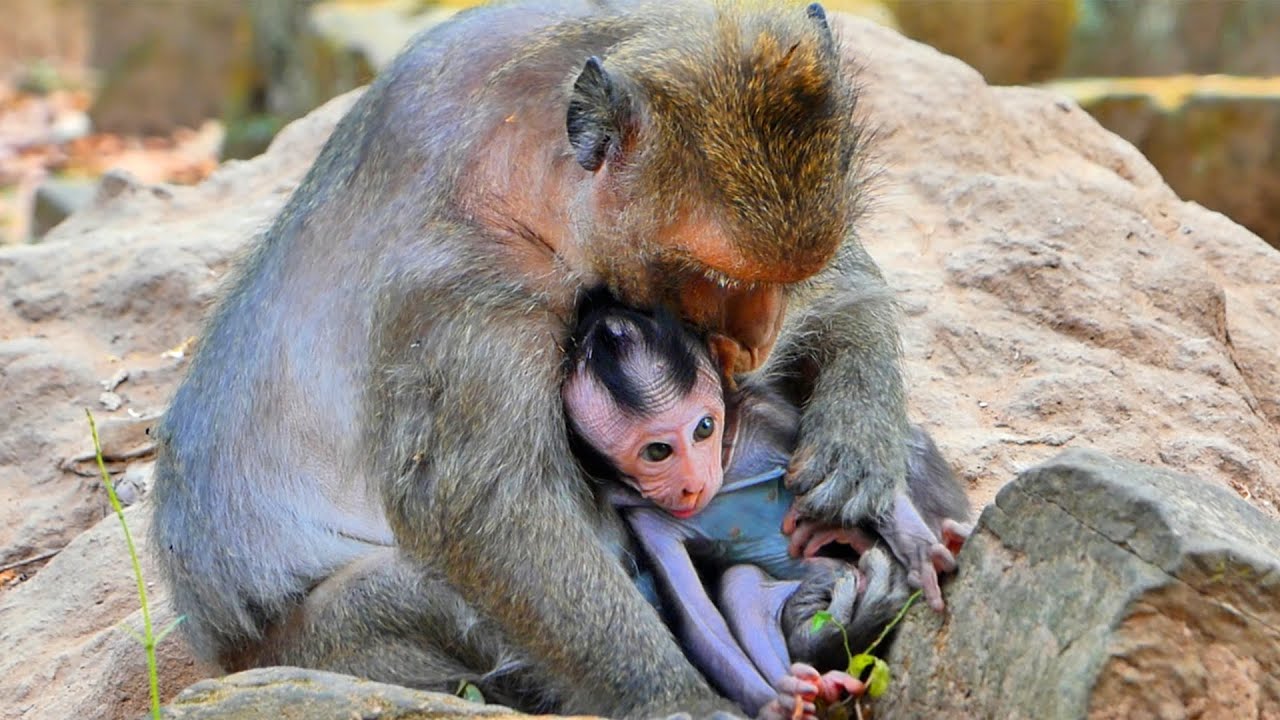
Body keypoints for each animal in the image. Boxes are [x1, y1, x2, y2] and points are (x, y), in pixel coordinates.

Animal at [148, 2, 928, 717]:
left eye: (785, 276)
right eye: (716, 278)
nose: (757, 342)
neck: (518, 160)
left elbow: (846, 287)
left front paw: (857, 438)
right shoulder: (460, 293)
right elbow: (483, 510)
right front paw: (678, 698)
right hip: (325, 640)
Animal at [560, 301, 972, 718]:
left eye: (704, 427)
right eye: (658, 451)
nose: (694, 481)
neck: (727, 464)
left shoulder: (766, 415)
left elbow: (852, 470)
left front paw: (921, 550)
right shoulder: (643, 515)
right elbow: (696, 614)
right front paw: (776, 702)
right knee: (741, 584)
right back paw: (811, 677)